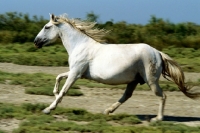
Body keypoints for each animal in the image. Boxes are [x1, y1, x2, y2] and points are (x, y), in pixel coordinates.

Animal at [33, 13, 199, 121]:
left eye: (47, 27)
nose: (36, 42)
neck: (80, 46)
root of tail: (157, 52)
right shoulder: (76, 72)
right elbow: (58, 77)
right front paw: (54, 94)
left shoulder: (76, 74)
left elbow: (64, 91)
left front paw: (48, 109)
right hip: (134, 81)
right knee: (126, 96)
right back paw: (107, 111)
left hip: (151, 81)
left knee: (162, 96)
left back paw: (157, 119)